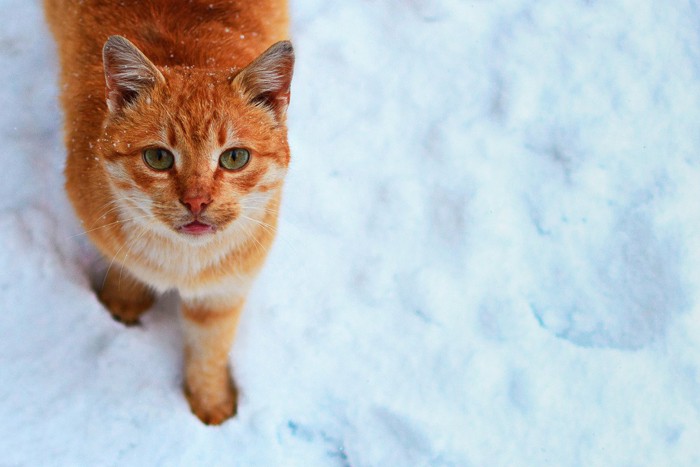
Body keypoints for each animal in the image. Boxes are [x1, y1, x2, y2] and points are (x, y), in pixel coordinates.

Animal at [43, 0, 296, 424]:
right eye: (158, 158)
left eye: (235, 157)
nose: (196, 201)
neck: (182, 263)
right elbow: (126, 266)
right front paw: (124, 300)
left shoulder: (223, 292)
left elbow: (210, 351)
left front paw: (210, 403)